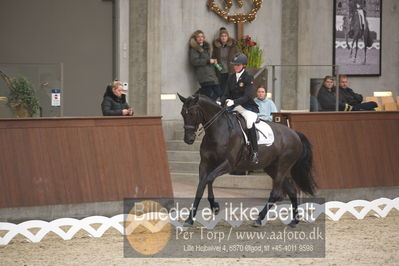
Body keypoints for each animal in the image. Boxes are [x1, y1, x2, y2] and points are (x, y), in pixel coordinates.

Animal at [180, 94, 318, 227]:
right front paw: (190, 219)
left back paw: (259, 219)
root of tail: (295, 134)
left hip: (282, 167)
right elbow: (201, 185)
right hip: (272, 168)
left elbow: (209, 178)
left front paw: (215, 206)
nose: (188, 139)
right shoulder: (204, 163)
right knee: (292, 191)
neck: (218, 130)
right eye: (182, 113)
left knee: (276, 193)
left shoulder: (228, 164)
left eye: (192, 113)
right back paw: (294, 221)